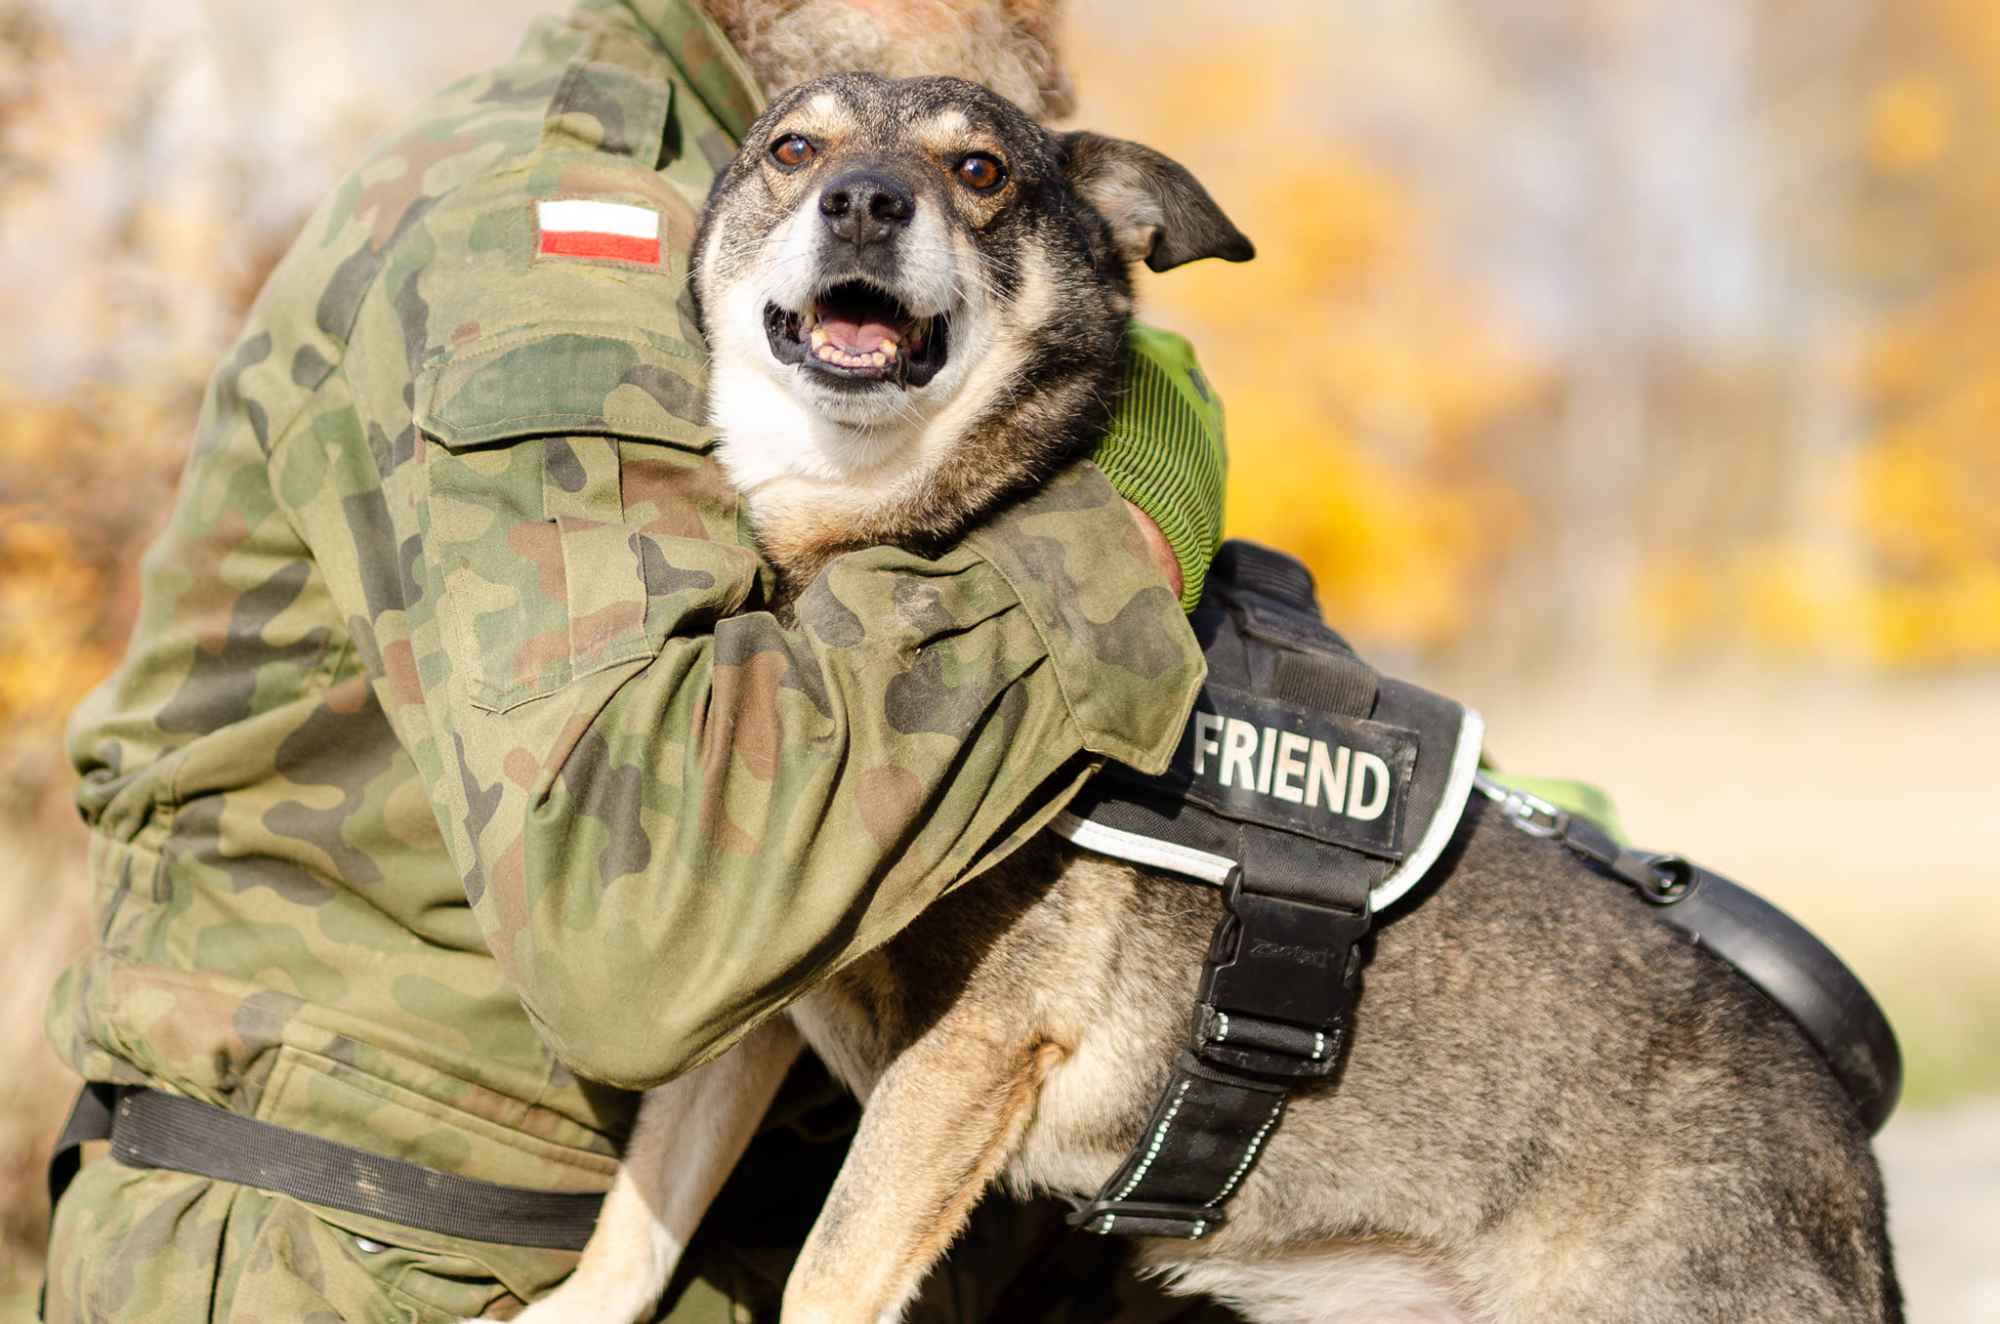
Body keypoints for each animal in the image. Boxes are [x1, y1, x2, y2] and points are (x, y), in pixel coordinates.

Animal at [504, 75, 1904, 1324]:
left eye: (980, 170)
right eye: (794, 149)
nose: (861, 201)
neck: (885, 526)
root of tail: (1856, 1200)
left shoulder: (969, 1048)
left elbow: (825, 1273)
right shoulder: (748, 1000)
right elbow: (638, 1218)